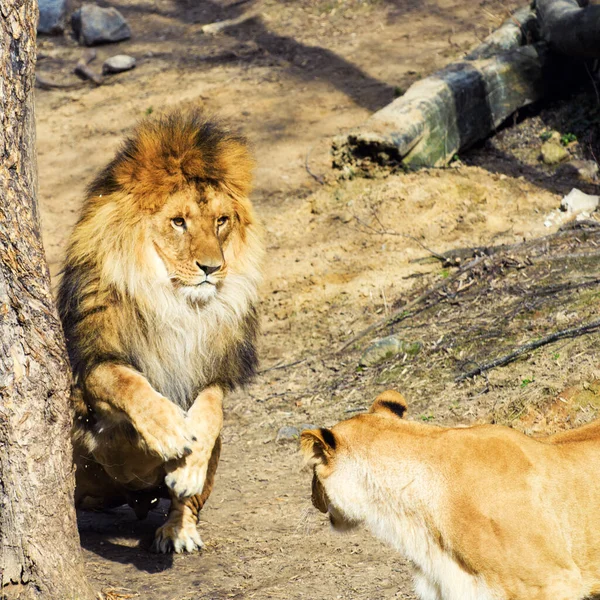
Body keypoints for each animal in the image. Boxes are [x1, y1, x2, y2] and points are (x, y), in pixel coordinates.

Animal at [59, 111, 264, 552]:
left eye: (221, 221)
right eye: (178, 222)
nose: (212, 268)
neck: (174, 305)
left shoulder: (211, 371)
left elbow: (210, 412)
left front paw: (187, 463)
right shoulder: (89, 363)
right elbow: (125, 381)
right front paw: (168, 433)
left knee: (186, 502)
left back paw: (178, 529)